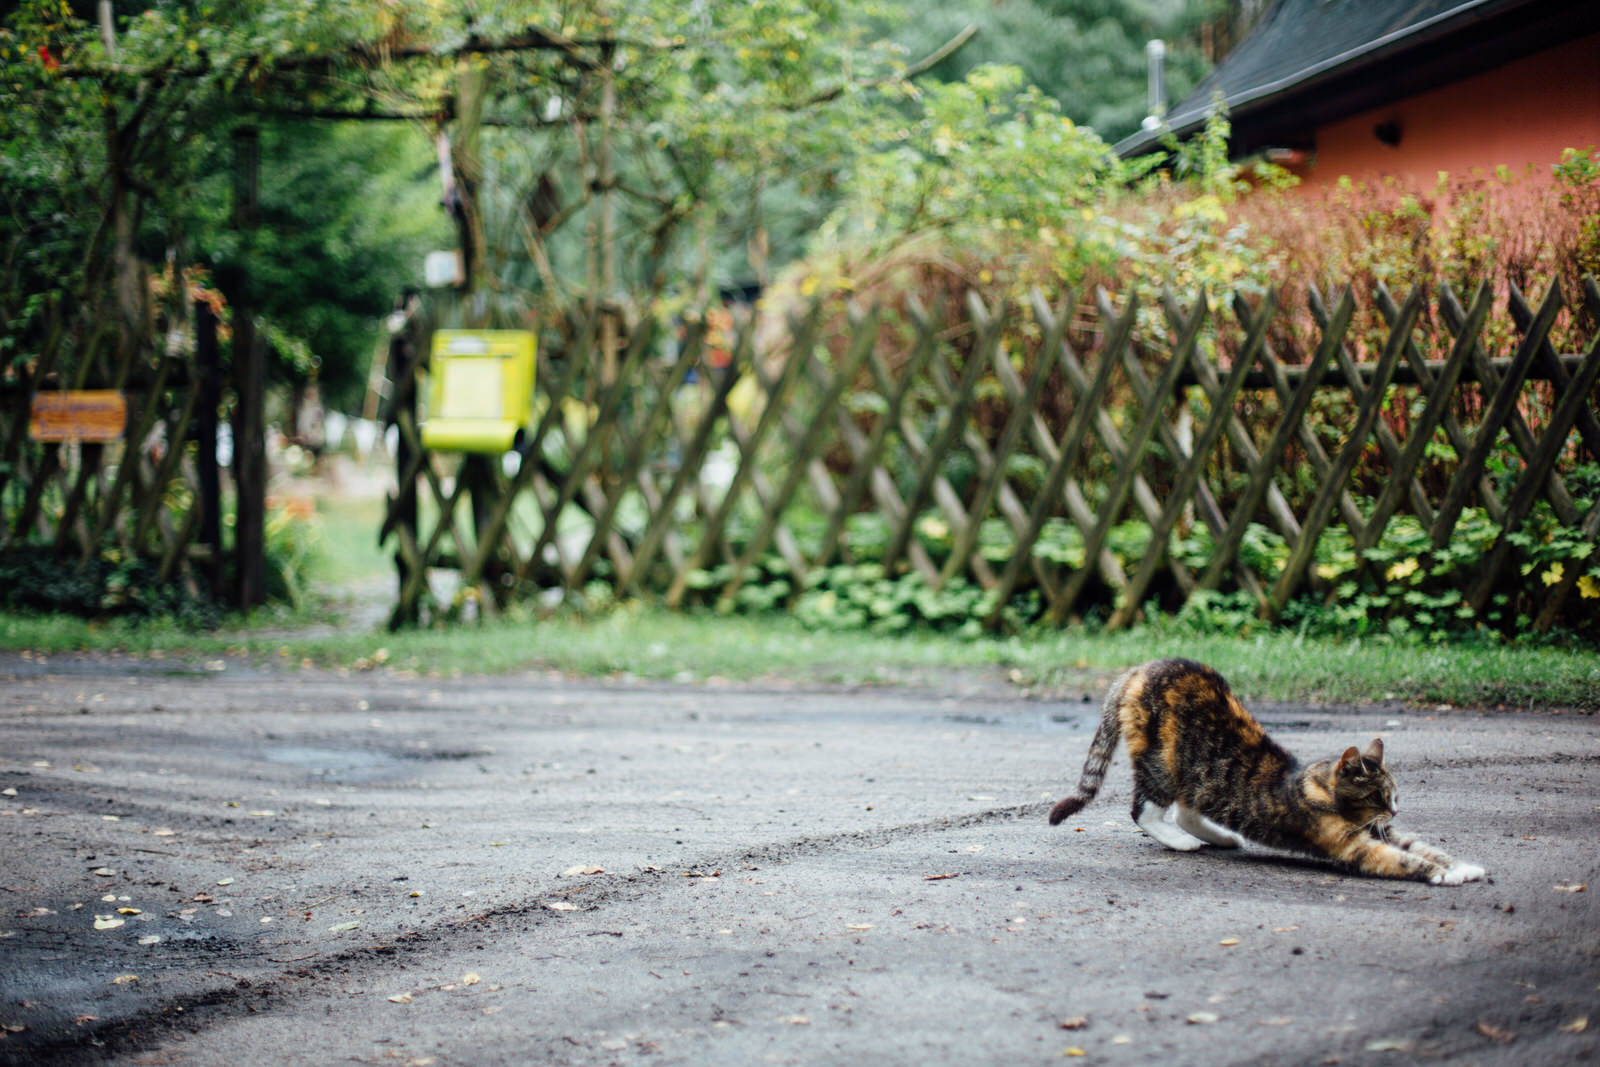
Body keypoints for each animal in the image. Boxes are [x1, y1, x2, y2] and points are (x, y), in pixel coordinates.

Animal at [1049, 659, 1484, 883]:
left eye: (1394, 796)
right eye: (1378, 796)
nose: (1394, 810)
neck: (1317, 786)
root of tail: (1139, 668)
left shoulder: (1385, 832)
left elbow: (1423, 847)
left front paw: (1463, 865)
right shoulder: (1355, 846)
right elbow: (1406, 860)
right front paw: (1446, 876)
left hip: (1198, 772)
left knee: (1189, 808)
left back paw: (1220, 837)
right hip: (1161, 759)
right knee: (1144, 809)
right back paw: (1181, 842)